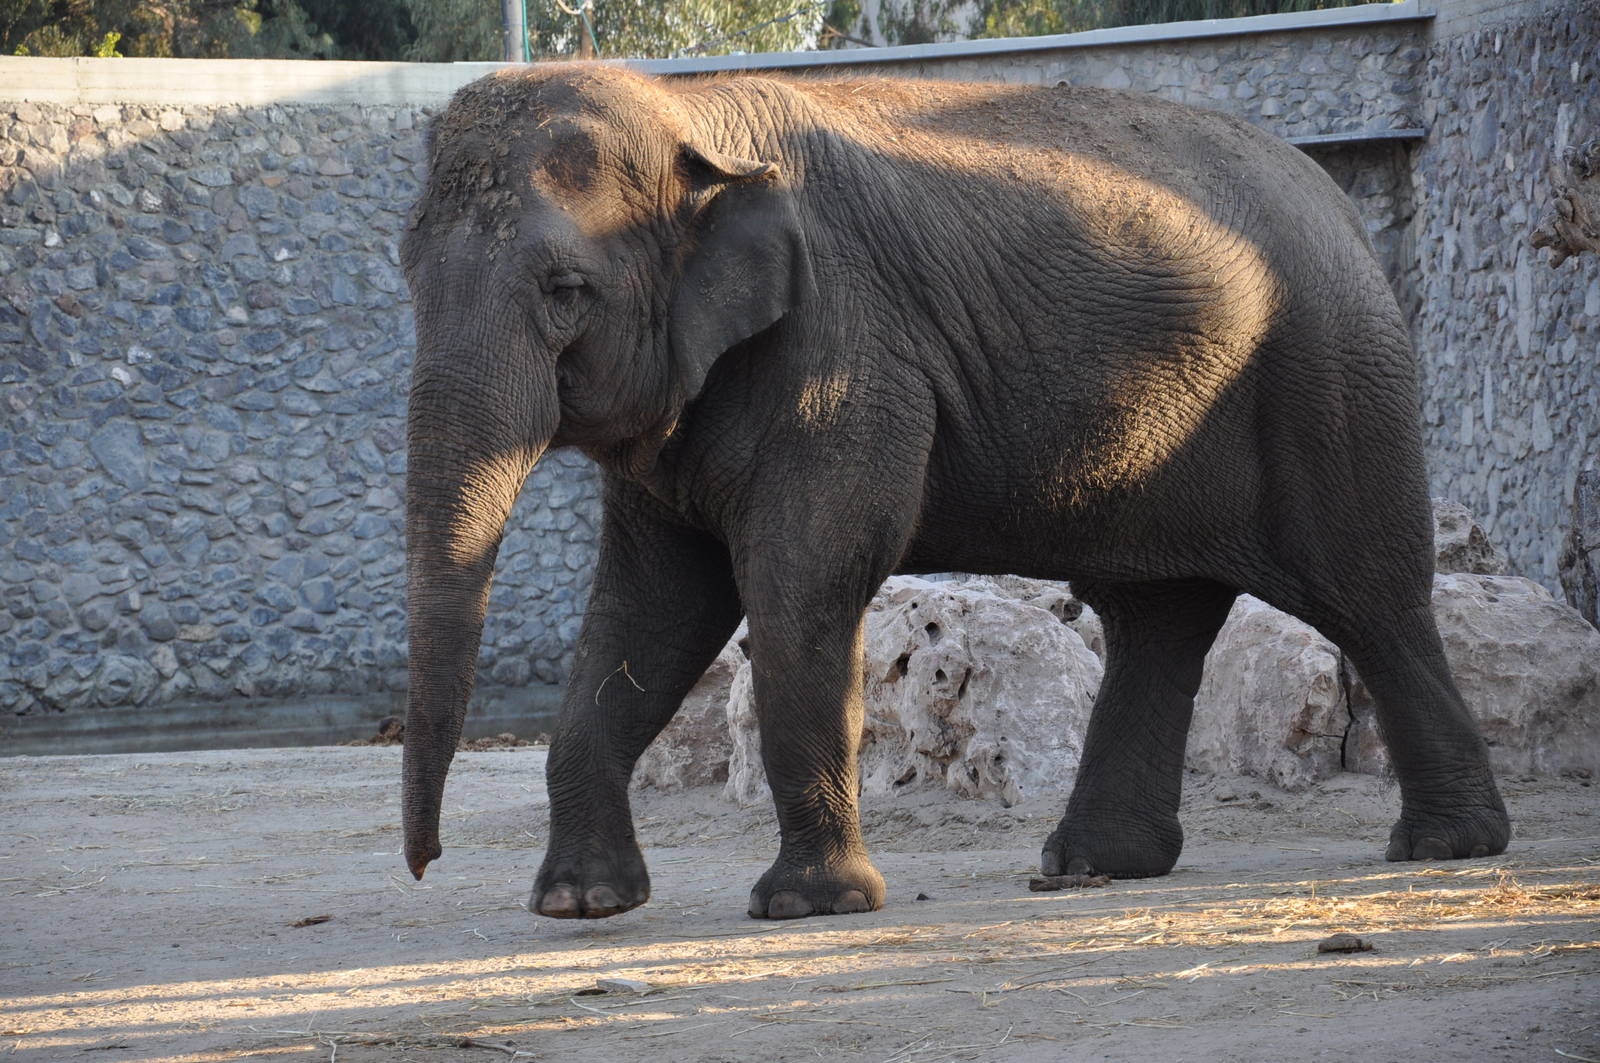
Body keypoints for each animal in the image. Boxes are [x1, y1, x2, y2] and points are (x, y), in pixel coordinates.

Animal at [398, 63, 1511, 921]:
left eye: (565, 292)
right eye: (405, 276)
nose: (423, 862)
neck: (693, 112)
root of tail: (1342, 204)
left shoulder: (845, 355)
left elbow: (802, 581)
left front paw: (809, 905)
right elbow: (650, 612)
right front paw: (580, 905)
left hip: (1333, 380)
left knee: (1368, 597)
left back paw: (1445, 846)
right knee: (1158, 615)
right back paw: (1092, 866)